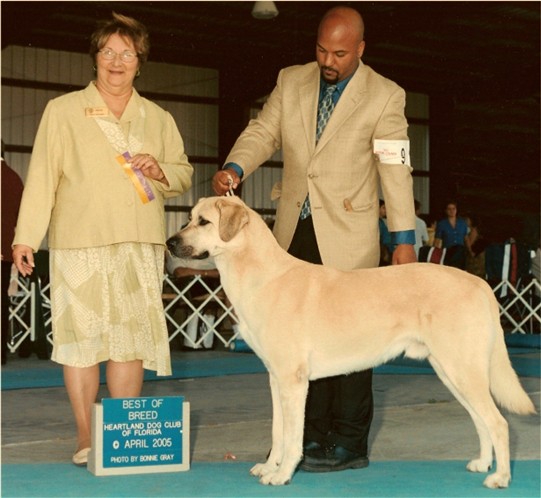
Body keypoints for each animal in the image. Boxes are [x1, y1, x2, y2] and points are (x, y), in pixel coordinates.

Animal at [166, 195, 536, 486]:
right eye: (188, 218)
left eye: (203, 221)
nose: (170, 242)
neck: (261, 275)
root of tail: (480, 283)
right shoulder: (275, 379)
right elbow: (277, 431)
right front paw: (269, 467)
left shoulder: (293, 381)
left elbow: (292, 436)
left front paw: (282, 474)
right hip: (452, 371)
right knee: (481, 421)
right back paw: (483, 464)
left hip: (462, 369)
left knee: (499, 423)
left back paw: (500, 477)